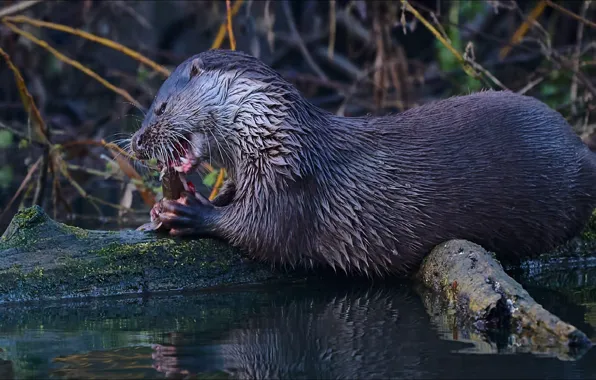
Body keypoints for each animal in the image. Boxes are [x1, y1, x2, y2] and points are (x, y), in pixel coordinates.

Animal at [130, 49, 596, 276]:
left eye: (160, 107)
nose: (136, 141)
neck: (277, 140)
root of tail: (582, 151)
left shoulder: (294, 186)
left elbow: (263, 231)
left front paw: (189, 211)